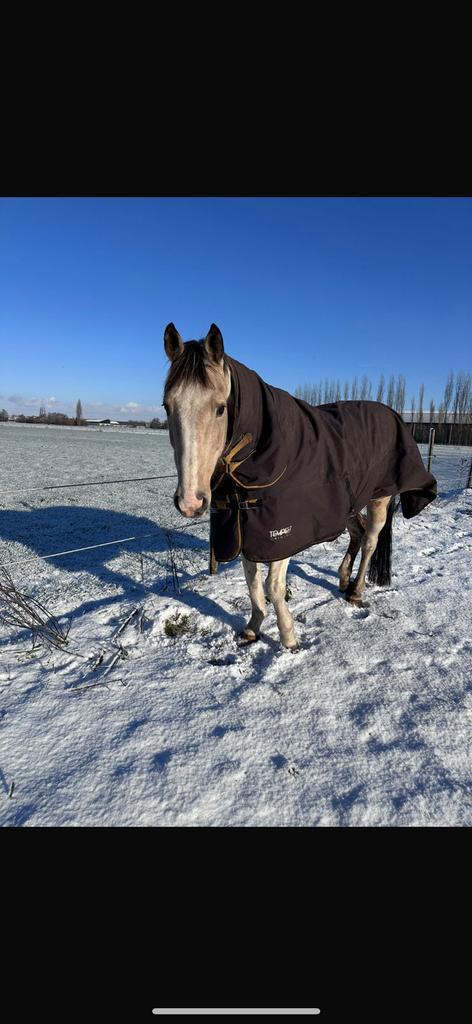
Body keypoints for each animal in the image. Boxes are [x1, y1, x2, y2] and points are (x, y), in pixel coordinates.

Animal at [162, 323, 437, 650]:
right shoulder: (247, 529)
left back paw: (356, 592)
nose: (190, 502)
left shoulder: (281, 535)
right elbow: (252, 582)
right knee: (357, 533)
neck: (263, 451)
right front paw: (253, 627)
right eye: (167, 406)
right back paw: (342, 579)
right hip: (347, 503)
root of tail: (392, 412)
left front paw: (289, 638)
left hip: (380, 498)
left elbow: (272, 586)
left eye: (220, 408)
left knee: (370, 539)